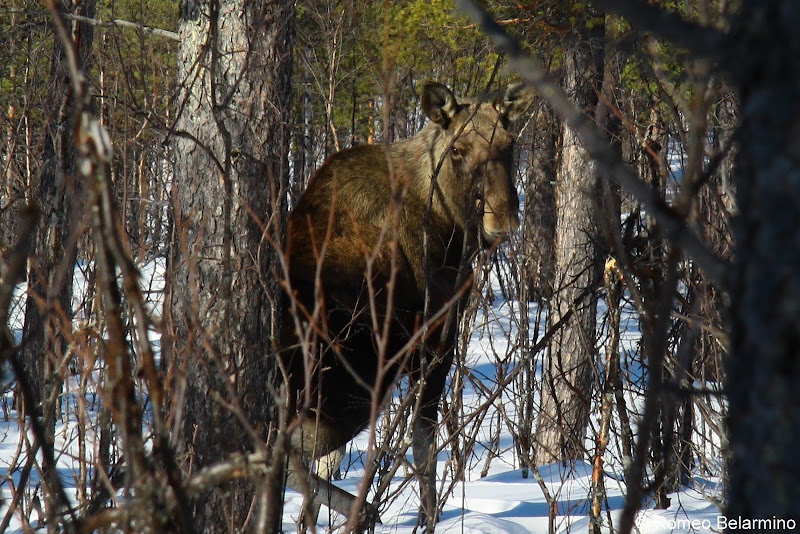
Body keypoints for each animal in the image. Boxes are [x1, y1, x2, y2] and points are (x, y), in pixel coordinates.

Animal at [280, 81, 532, 528]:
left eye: (510, 142)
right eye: (457, 149)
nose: (501, 220)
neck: (451, 230)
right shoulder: (435, 340)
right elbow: (424, 445)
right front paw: (429, 518)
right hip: (347, 388)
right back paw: (361, 509)